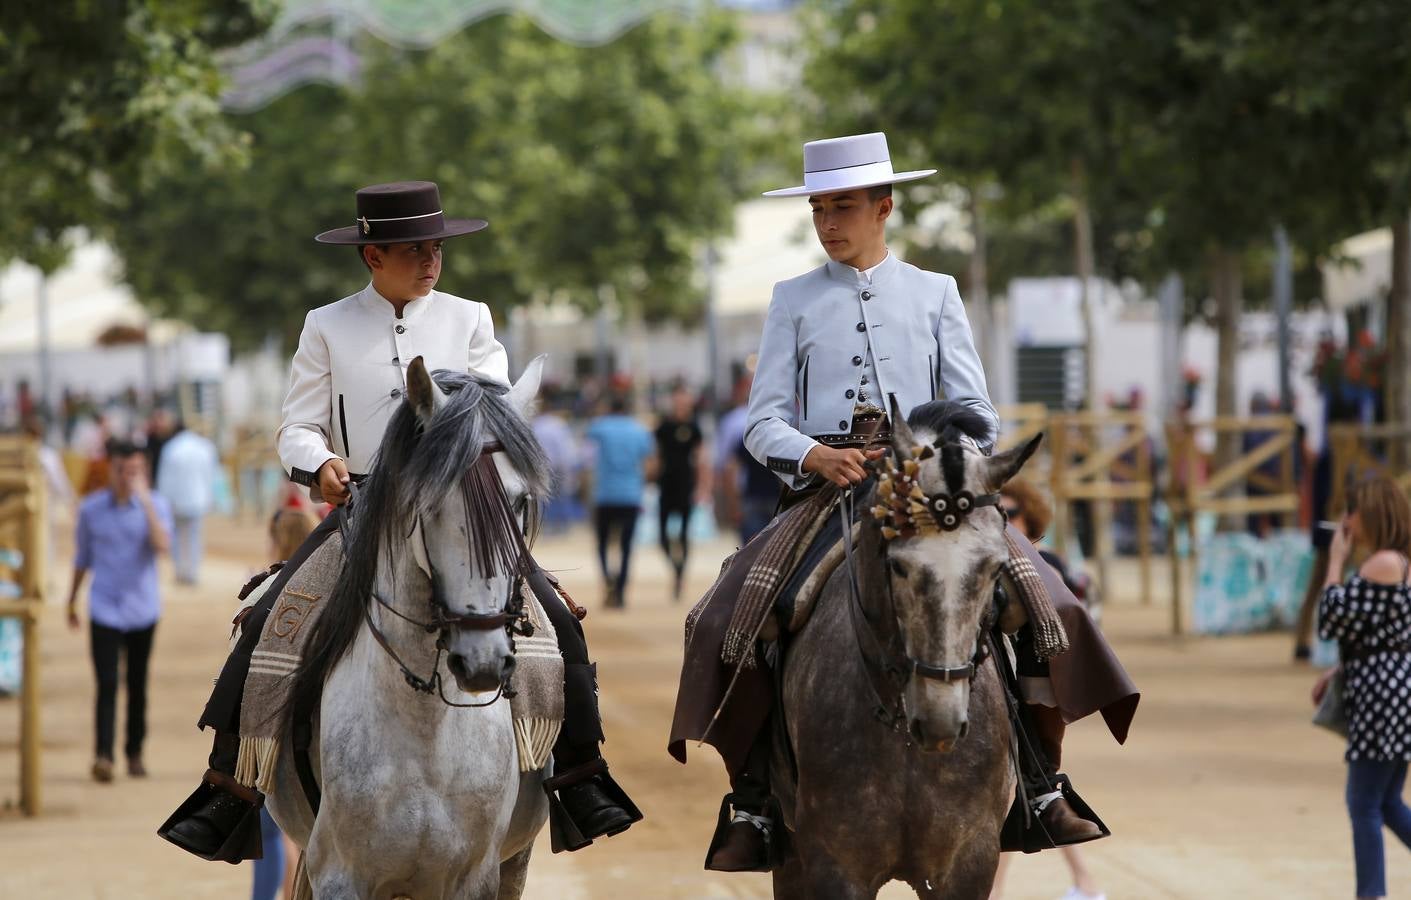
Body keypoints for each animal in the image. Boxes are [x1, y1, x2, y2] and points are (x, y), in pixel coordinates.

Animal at [266, 359, 553, 900]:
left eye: (519, 501)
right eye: (431, 503)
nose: (482, 660)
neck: (427, 727)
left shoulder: (476, 877)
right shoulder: (340, 874)